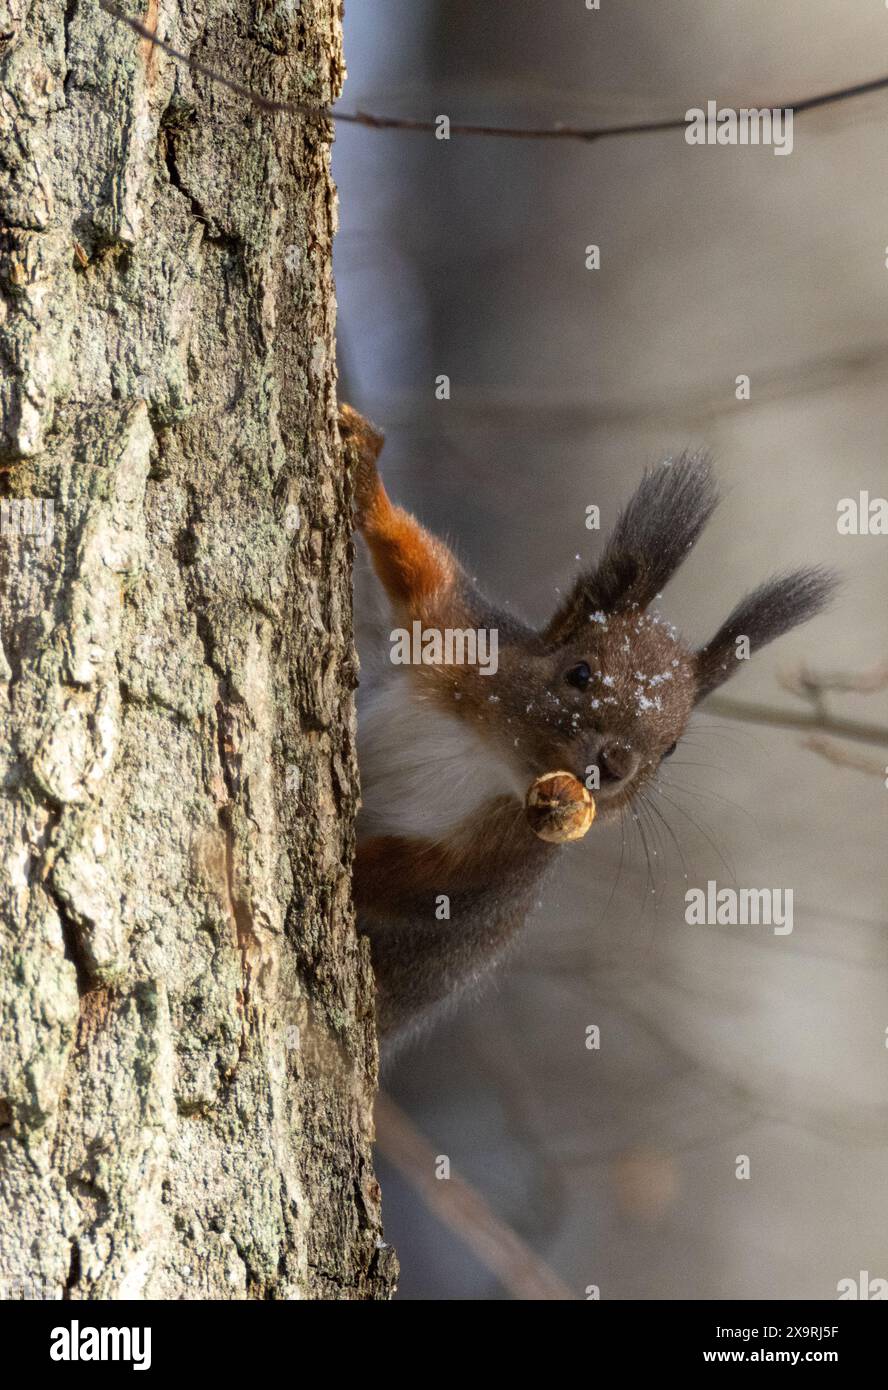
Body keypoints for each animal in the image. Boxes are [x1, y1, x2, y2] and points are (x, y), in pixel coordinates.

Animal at [339, 405, 833, 1039]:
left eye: (672, 748)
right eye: (579, 672)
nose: (614, 765)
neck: (493, 748)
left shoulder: (500, 861)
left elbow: (419, 886)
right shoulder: (459, 637)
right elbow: (420, 565)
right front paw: (365, 465)